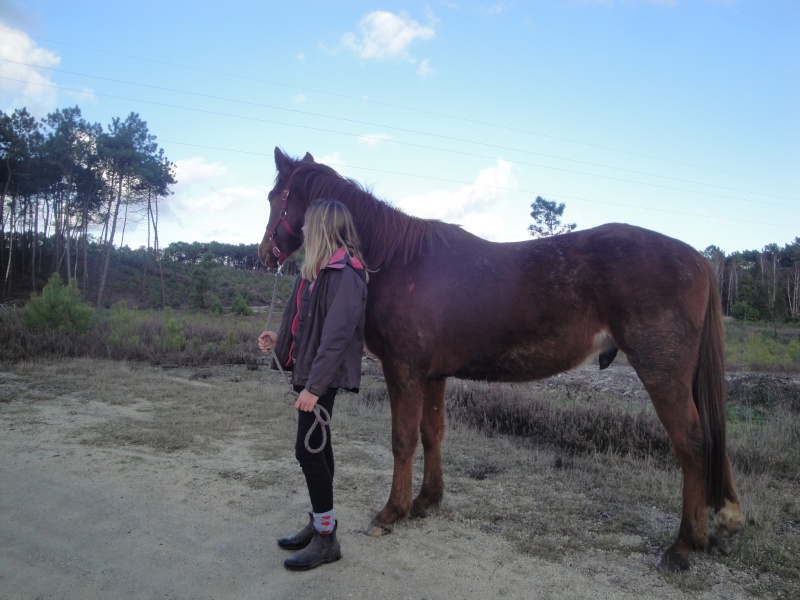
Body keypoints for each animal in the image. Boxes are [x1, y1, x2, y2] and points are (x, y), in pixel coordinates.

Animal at [260, 148, 744, 568]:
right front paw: (426, 501)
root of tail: (698, 259)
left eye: (273, 197)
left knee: (693, 443)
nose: (266, 254)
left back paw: (683, 545)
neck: (397, 259)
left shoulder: (405, 372)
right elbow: (433, 434)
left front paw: (391, 512)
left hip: (663, 374)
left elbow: (403, 439)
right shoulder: (433, 376)